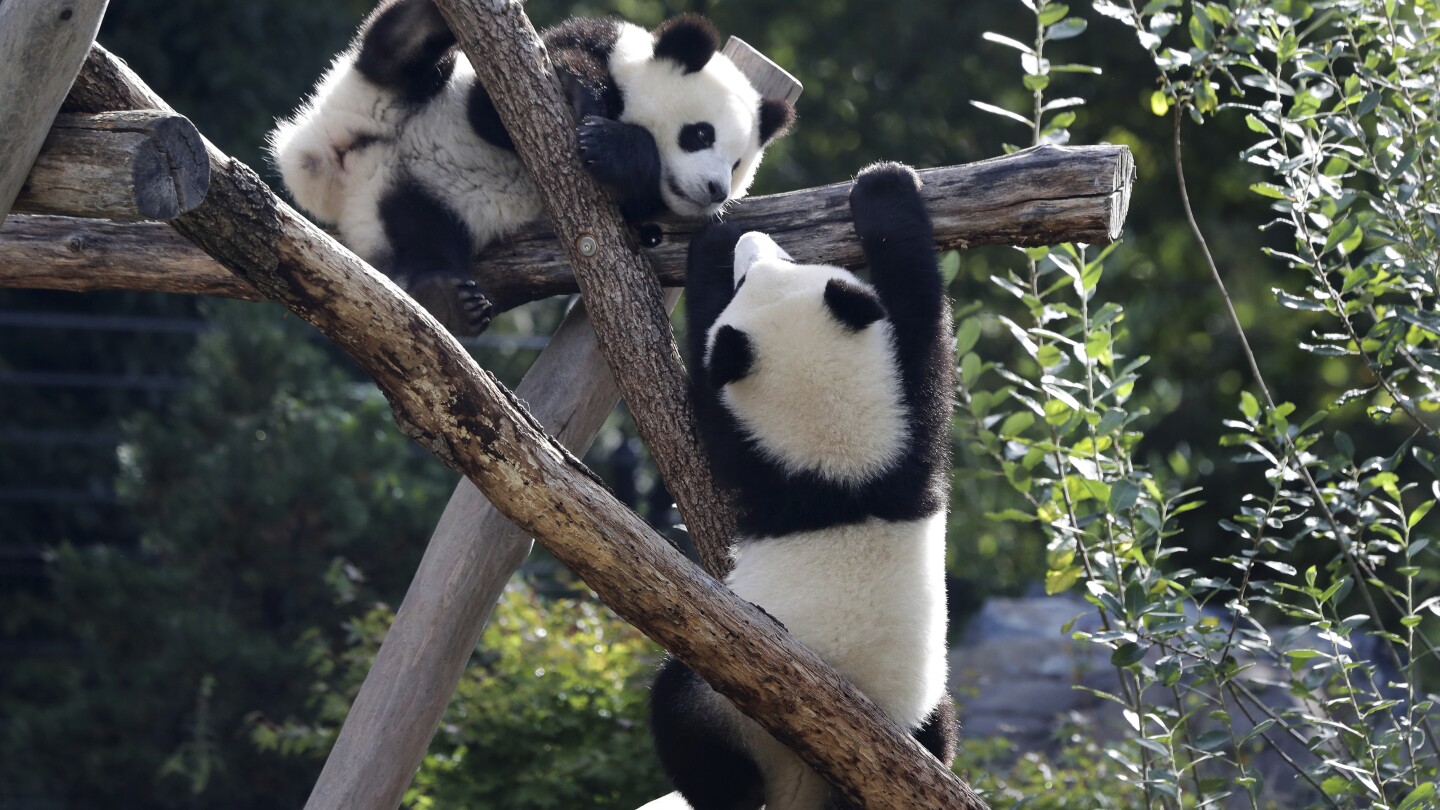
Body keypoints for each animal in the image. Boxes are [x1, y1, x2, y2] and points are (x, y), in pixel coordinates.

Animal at [264, 0, 794, 331]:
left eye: (738, 164)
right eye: (700, 134)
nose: (716, 190)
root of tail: (333, 166)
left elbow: (636, 207)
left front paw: (615, 148)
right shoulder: (569, 49)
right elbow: (492, 110)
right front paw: (580, 94)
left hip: (406, 203)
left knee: (421, 237)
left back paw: (446, 298)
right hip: (379, 94)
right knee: (395, 55)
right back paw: (424, 21)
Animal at [653, 159, 956, 807]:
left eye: (752, 278)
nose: (750, 241)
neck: (838, 460)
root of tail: (804, 779)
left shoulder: (751, 456)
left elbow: (705, 403)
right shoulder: (913, 422)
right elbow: (923, 316)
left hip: (725, 697)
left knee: (678, 712)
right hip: (916, 716)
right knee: (940, 724)